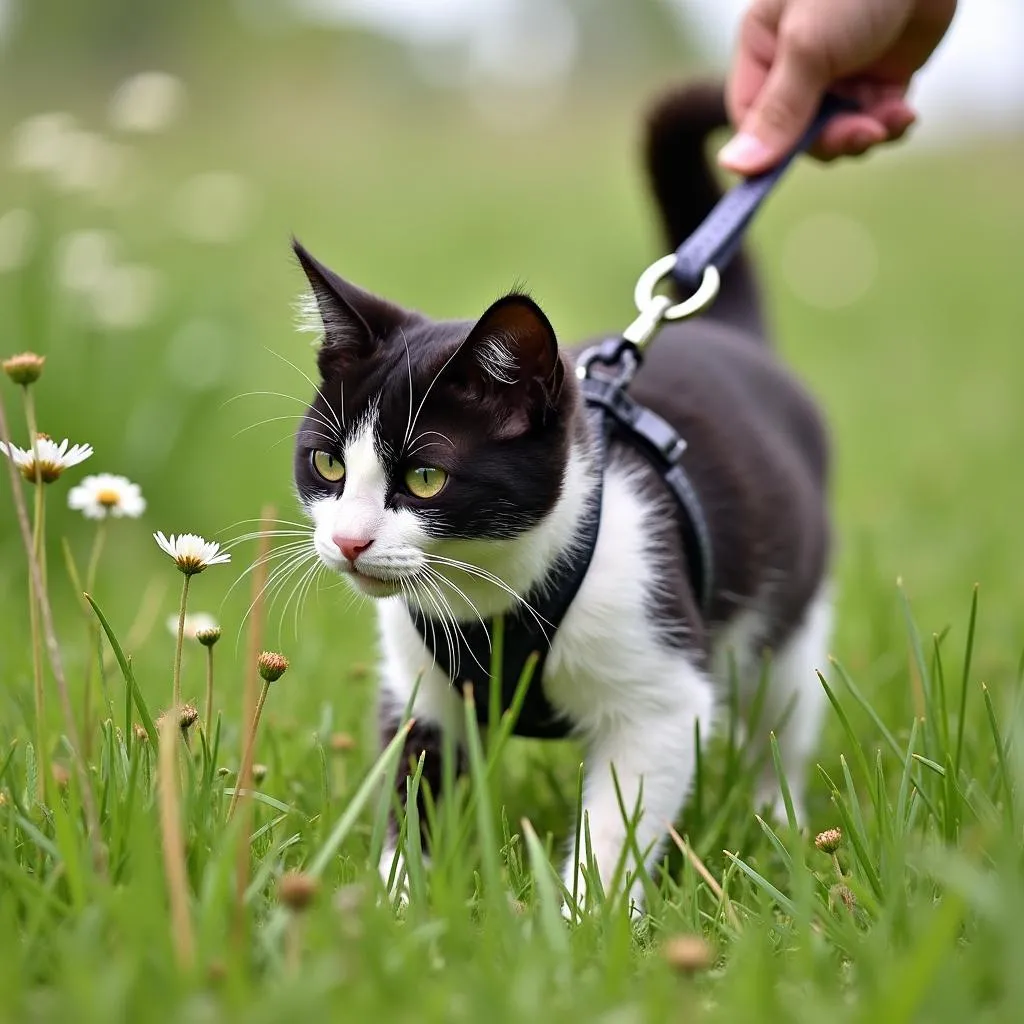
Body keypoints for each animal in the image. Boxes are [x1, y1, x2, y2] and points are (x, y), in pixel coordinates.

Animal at [290, 77, 831, 913]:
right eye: (325, 466)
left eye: (424, 477)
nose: (348, 541)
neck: (490, 599)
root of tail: (729, 331)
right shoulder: (418, 689)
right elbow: (412, 790)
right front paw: (394, 912)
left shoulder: (659, 685)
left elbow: (620, 819)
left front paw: (582, 921)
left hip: (790, 618)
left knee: (782, 718)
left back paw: (780, 823)